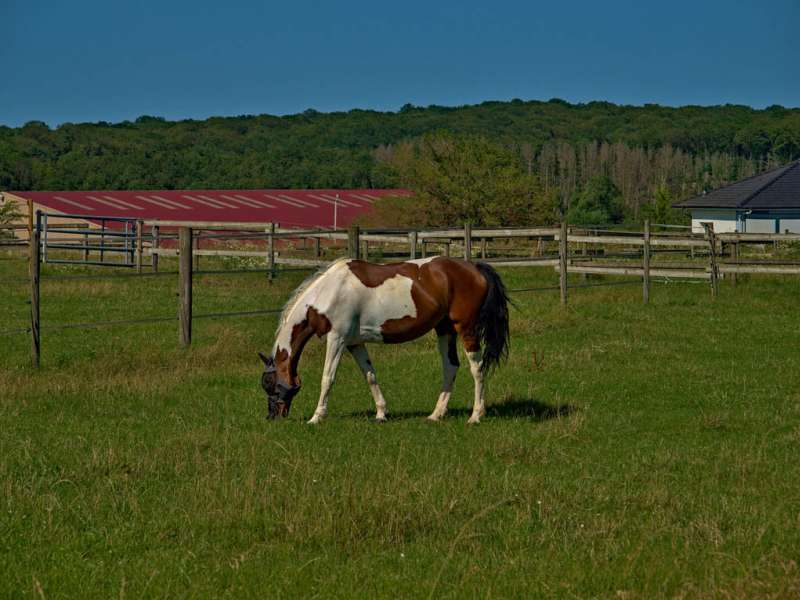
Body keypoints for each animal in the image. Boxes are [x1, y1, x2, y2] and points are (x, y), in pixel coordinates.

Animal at [260, 255, 510, 424]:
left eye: (269, 383)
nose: (272, 416)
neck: (327, 293)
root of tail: (474, 267)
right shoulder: (354, 343)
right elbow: (370, 375)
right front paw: (381, 413)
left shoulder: (337, 339)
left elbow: (327, 378)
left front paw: (316, 417)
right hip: (445, 329)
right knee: (450, 366)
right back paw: (436, 414)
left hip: (466, 329)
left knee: (477, 368)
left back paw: (476, 415)